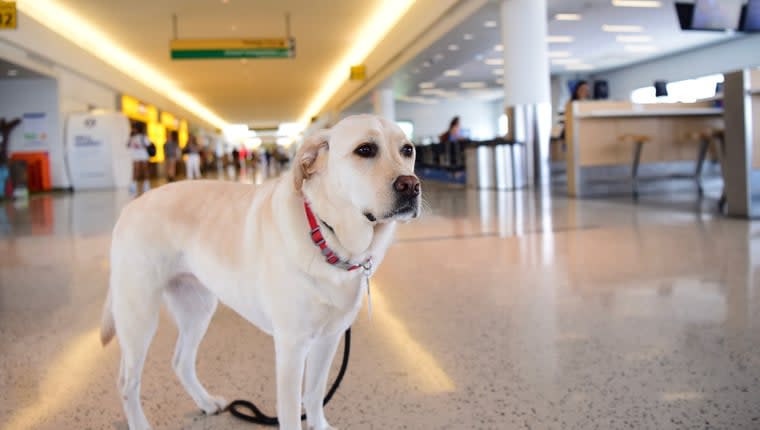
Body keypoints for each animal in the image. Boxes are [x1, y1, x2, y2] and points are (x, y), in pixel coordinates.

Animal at [99, 115, 422, 430]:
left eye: (408, 150)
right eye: (365, 150)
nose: (411, 185)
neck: (329, 238)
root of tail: (129, 208)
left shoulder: (329, 338)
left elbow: (314, 394)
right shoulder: (292, 346)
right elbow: (290, 412)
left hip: (197, 309)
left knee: (181, 362)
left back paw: (206, 402)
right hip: (139, 316)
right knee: (127, 382)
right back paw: (140, 422)